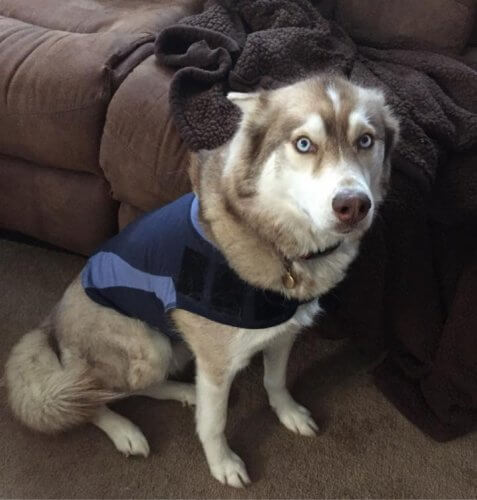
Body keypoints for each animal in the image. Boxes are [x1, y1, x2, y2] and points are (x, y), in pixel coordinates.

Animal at [4, 75, 398, 488]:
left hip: (173, 344)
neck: (277, 243)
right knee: (90, 400)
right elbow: (214, 422)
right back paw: (125, 430)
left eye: (365, 140)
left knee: (142, 386)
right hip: (147, 347)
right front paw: (222, 463)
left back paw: (185, 391)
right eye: (304, 143)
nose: (353, 205)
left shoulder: (283, 333)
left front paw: (288, 412)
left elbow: (275, 381)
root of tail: (51, 322)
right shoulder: (216, 361)